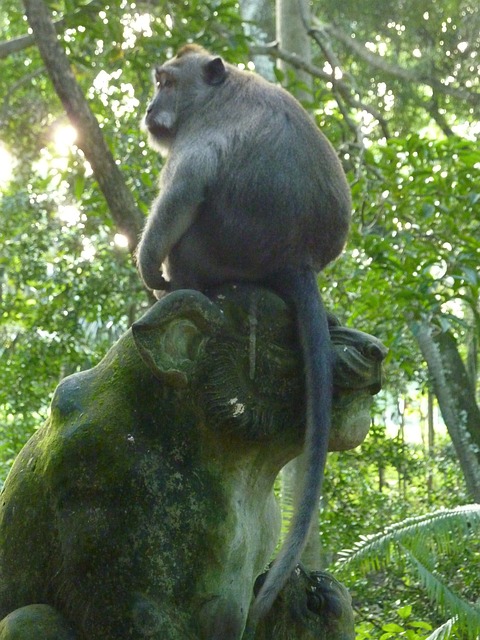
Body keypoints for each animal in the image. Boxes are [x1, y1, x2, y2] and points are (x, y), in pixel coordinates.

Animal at [136, 44, 351, 631]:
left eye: (166, 82)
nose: (150, 108)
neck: (217, 91)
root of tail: (298, 258)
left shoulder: (199, 134)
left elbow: (183, 189)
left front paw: (147, 268)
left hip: (215, 250)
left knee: (188, 228)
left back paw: (174, 284)